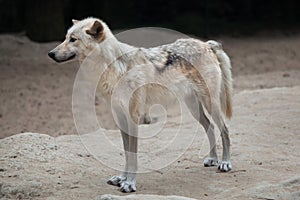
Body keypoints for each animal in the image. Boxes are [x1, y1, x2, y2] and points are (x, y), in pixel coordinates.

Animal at [48, 18, 233, 193]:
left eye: (73, 39)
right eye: (65, 38)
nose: (50, 53)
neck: (113, 67)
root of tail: (207, 44)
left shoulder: (133, 118)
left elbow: (133, 156)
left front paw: (129, 184)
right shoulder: (120, 118)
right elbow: (126, 154)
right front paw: (121, 179)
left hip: (211, 105)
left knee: (224, 129)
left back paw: (225, 162)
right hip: (194, 108)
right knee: (210, 127)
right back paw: (212, 159)